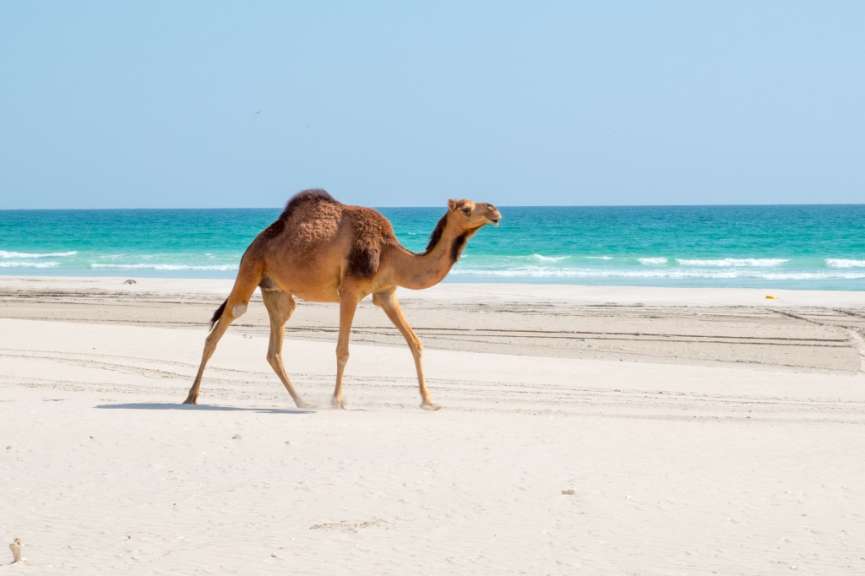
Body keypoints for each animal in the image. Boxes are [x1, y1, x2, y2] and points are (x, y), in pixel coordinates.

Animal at [183, 189, 501, 410]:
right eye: (466, 208)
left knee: (275, 347)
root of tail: (254, 243)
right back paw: (191, 396)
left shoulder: (386, 294)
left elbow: (415, 343)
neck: (391, 255)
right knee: (220, 329)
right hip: (250, 269)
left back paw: (302, 401)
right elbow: (342, 350)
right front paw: (337, 400)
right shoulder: (350, 291)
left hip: (276, 291)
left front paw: (429, 401)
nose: (495, 209)